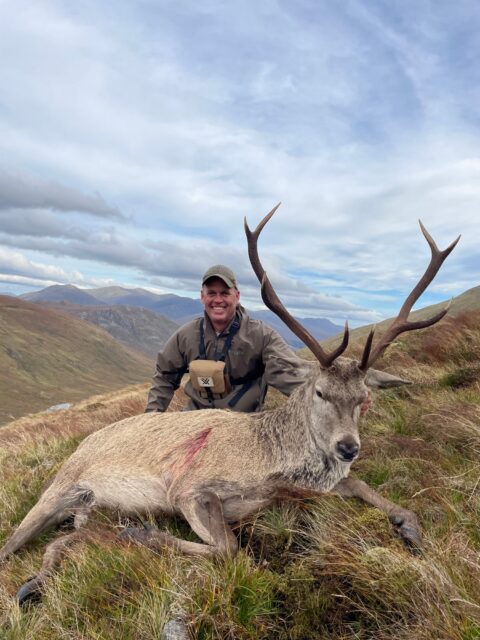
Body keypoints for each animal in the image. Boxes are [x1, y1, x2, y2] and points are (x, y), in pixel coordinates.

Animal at [0, 205, 459, 606]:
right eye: (320, 392)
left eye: (365, 398)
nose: (348, 448)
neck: (269, 467)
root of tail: (81, 442)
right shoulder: (189, 488)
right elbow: (230, 549)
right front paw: (141, 535)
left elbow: (368, 490)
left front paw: (410, 529)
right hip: (60, 487)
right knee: (12, 543)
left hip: (86, 509)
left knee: (62, 541)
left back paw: (36, 582)